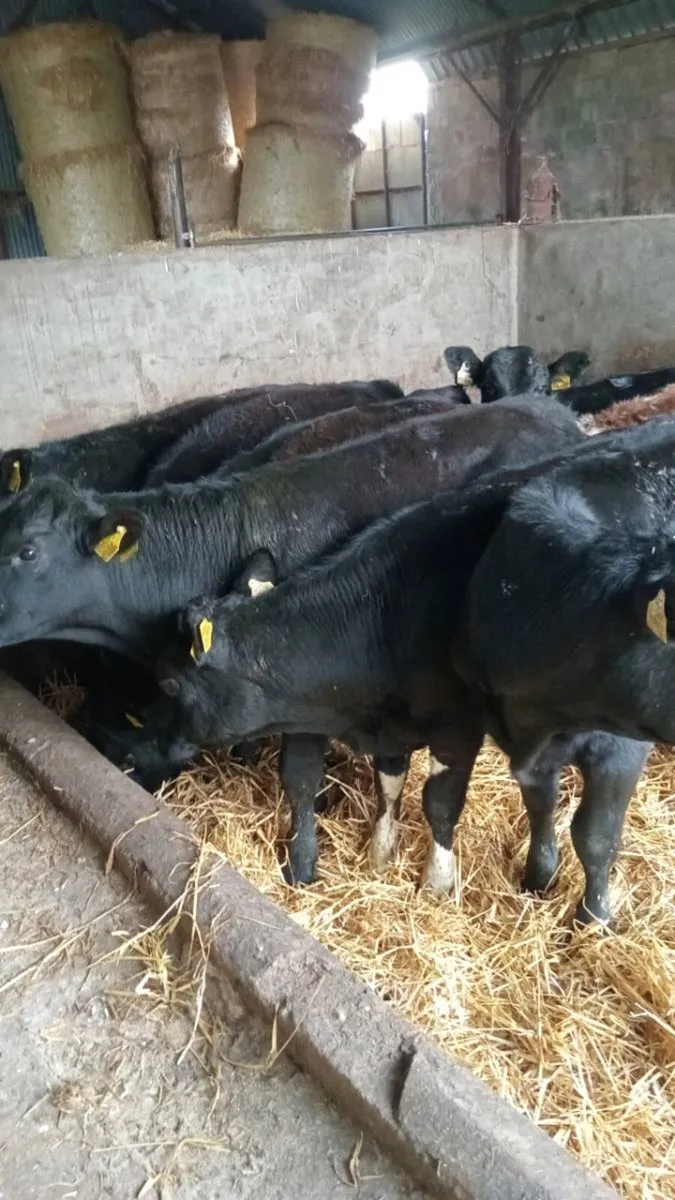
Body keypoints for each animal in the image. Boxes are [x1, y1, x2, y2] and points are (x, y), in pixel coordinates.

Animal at [153, 422, 675, 924]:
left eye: (171, 684)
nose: (158, 755)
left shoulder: (461, 728)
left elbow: (444, 802)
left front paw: (438, 882)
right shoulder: (397, 725)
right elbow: (392, 786)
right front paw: (381, 854)